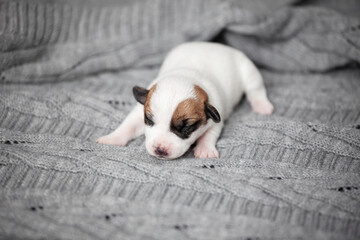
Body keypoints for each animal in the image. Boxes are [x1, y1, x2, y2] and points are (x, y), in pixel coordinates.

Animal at [97, 42, 274, 159]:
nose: (160, 150)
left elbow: (209, 135)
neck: (186, 74)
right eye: (149, 120)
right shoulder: (139, 113)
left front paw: (205, 150)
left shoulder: (216, 117)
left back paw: (263, 106)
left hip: (249, 72)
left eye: (186, 127)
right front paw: (112, 138)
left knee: (256, 90)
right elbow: (128, 125)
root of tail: (217, 45)